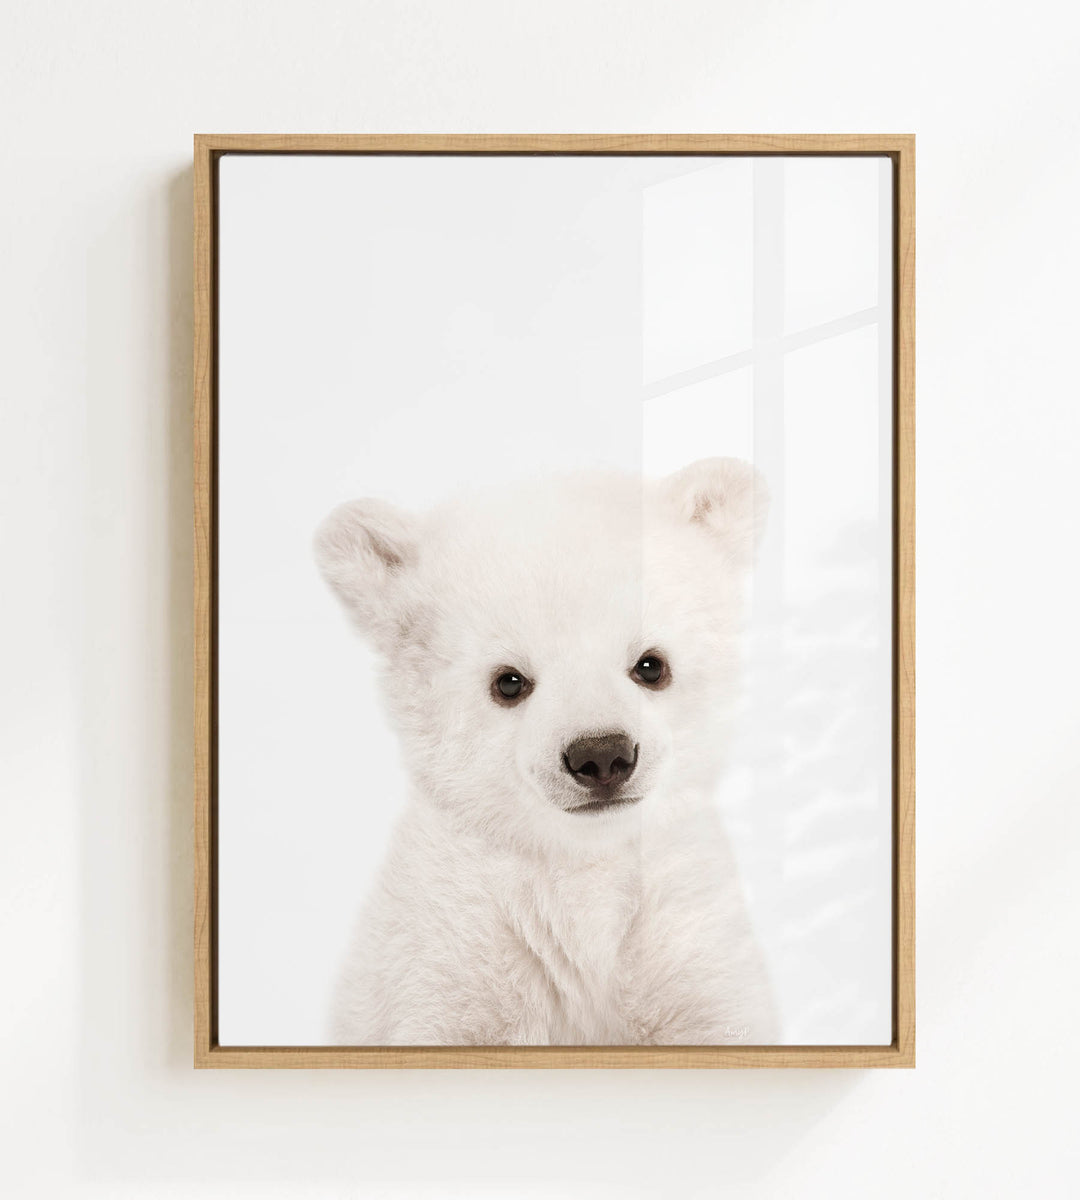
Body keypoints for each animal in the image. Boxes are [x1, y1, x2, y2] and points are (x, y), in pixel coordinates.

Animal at [315, 457, 777, 1045]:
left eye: (651, 665)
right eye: (509, 681)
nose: (601, 756)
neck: (580, 867)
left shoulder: (684, 931)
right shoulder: (449, 941)